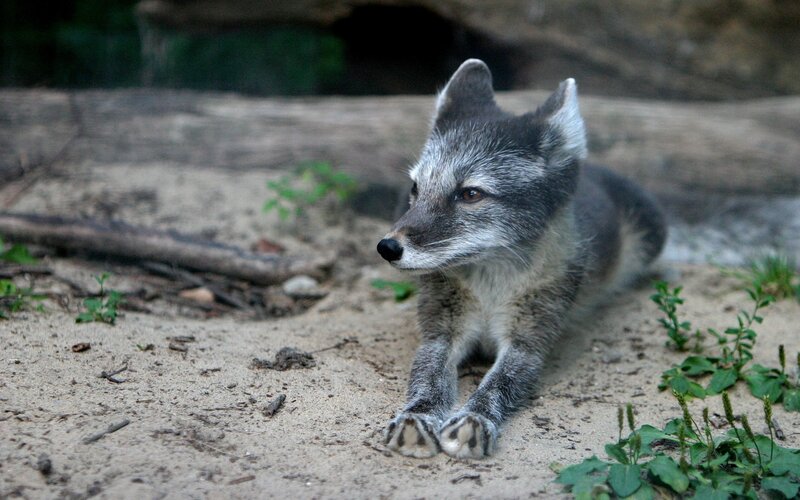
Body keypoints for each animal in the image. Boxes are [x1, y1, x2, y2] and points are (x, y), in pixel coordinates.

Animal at [376, 59, 667, 459]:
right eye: (416, 189)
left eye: (470, 194)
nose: (387, 247)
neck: (491, 287)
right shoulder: (439, 333)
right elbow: (427, 377)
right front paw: (417, 416)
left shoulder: (529, 343)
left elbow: (498, 383)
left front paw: (475, 418)